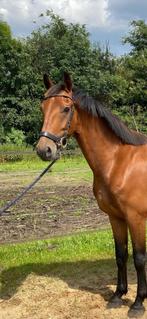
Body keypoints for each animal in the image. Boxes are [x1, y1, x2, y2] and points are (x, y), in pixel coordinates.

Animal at [36, 71, 147, 314]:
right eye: (42, 108)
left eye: (66, 108)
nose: (44, 150)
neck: (119, 161)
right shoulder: (115, 217)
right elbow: (121, 255)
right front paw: (117, 296)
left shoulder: (136, 218)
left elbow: (139, 258)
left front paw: (137, 304)